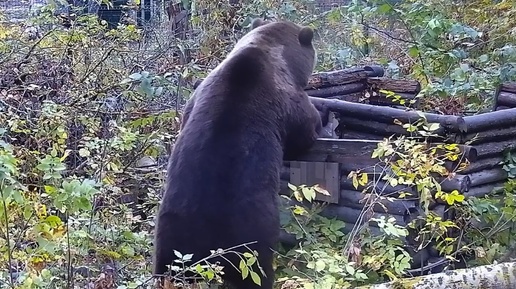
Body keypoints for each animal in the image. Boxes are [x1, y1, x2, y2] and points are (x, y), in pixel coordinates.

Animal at [151, 18, 324, 288]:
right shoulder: (288, 101)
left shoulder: (198, 93)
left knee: (167, 264)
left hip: (171, 231)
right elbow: (305, 132)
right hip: (251, 237)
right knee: (258, 269)